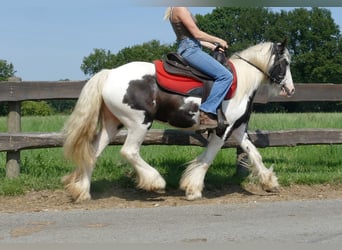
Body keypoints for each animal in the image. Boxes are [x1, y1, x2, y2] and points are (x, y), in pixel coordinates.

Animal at [62, 40, 296, 201]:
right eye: (285, 62)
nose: (291, 89)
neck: (242, 84)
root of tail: (109, 74)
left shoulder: (238, 130)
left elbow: (254, 153)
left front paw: (269, 182)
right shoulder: (223, 129)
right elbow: (208, 158)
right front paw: (193, 189)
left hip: (112, 124)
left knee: (92, 153)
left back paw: (82, 192)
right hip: (139, 123)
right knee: (129, 151)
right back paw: (155, 182)